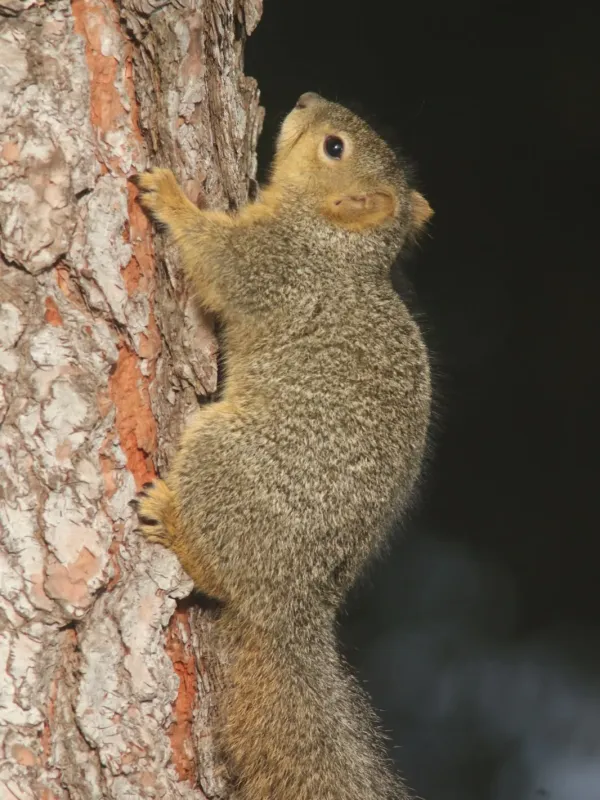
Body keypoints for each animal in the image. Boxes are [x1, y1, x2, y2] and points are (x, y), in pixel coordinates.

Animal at [132, 91, 433, 800]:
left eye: (333, 148)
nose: (304, 99)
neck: (339, 244)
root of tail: (291, 604)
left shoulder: (277, 266)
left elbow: (221, 260)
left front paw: (172, 197)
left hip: (222, 458)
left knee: (218, 574)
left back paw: (175, 525)